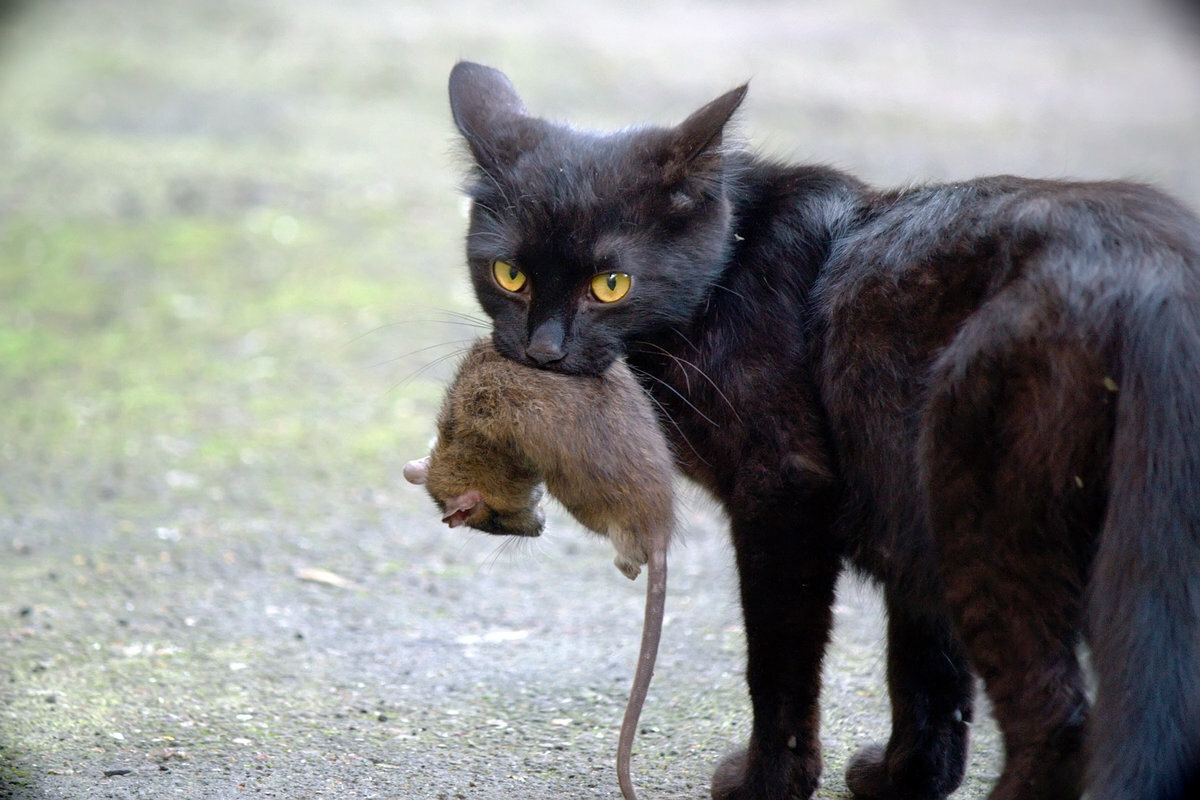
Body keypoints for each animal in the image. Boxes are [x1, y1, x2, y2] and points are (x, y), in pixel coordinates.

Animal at [444, 62, 1200, 800]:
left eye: (610, 284)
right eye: (509, 274)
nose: (543, 351)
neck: (734, 267)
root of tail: (1156, 274)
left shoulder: (785, 488)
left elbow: (780, 659)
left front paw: (768, 783)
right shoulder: (902, 504)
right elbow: (925, 662)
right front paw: (906, 779)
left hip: (983, 510)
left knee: (1057, 718)